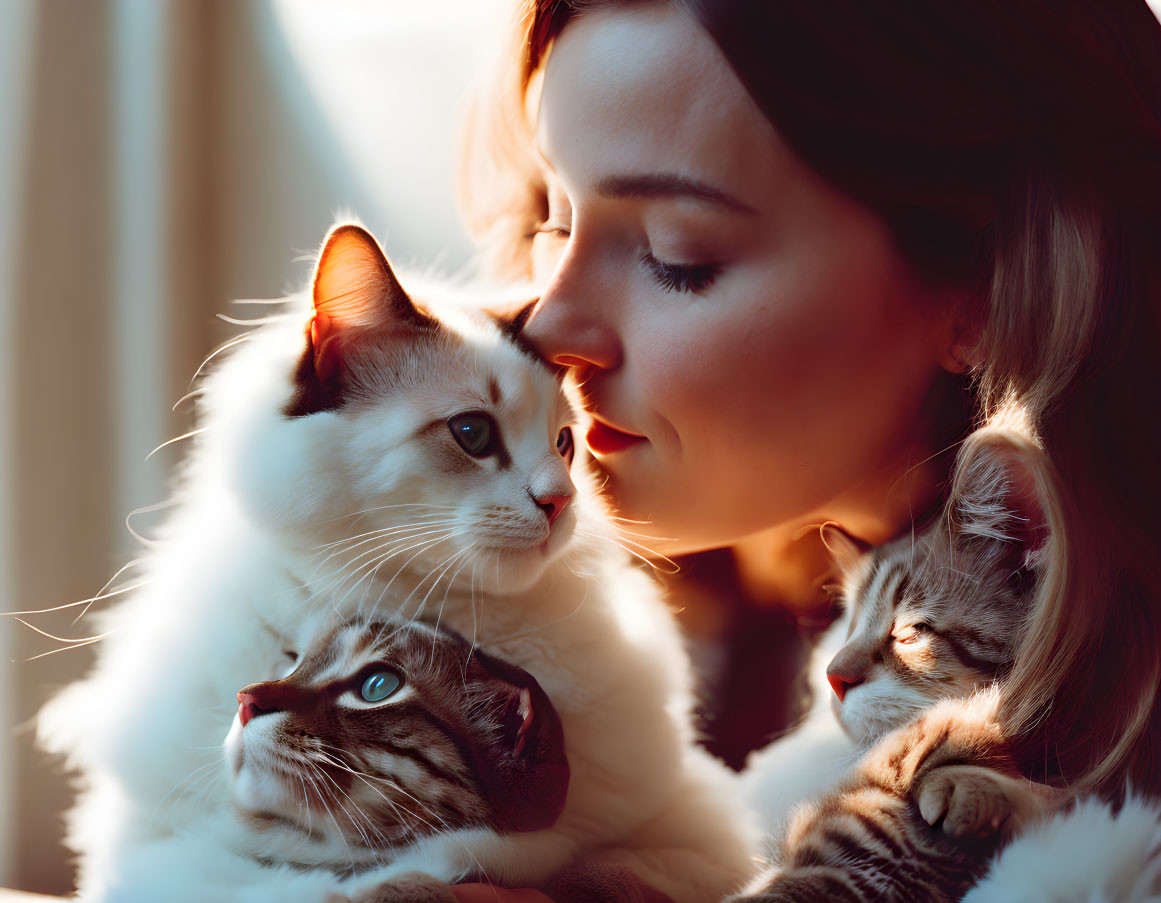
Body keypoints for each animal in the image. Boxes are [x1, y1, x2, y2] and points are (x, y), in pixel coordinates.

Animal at [36, 222, 756, 900]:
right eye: (472, 433)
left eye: (565, 444)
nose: (561, 501)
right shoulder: (176, 851)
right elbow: (309, 879)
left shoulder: (687, 831)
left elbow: (605, 867)